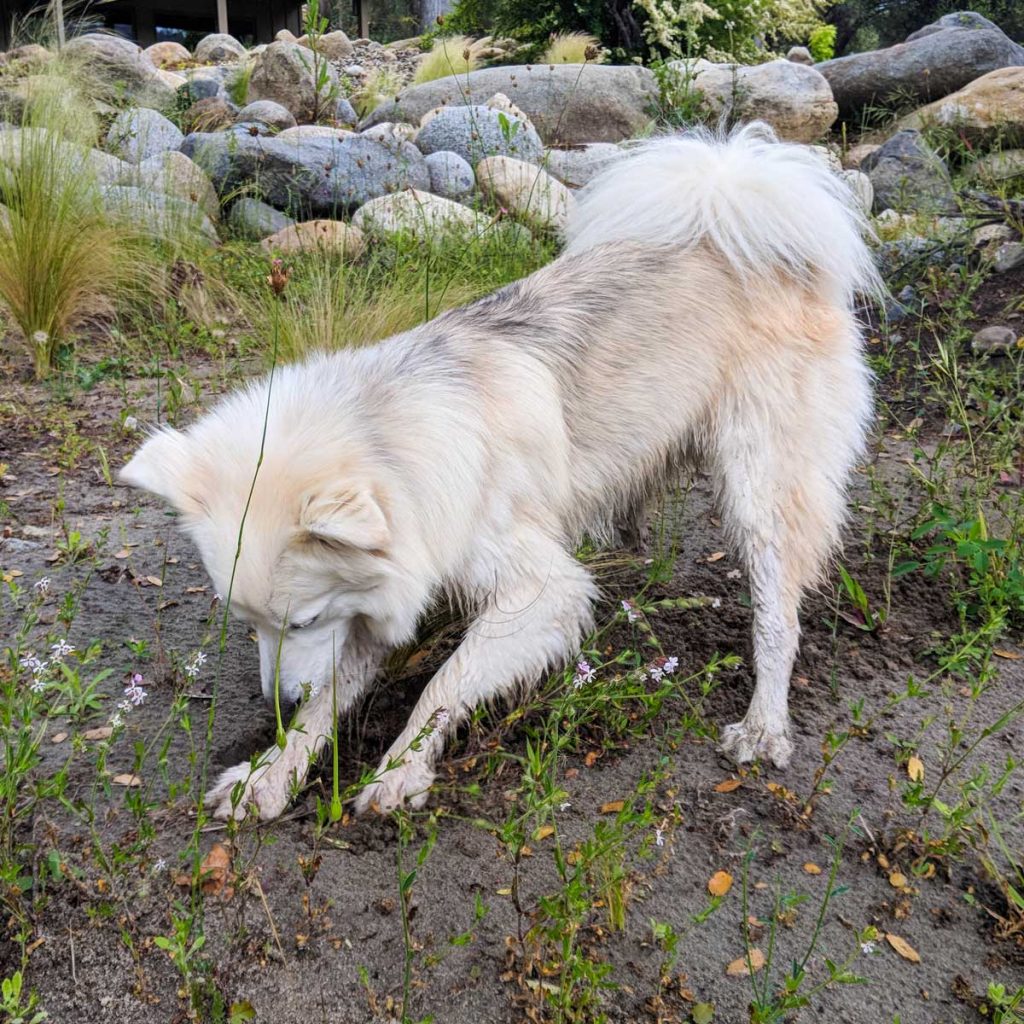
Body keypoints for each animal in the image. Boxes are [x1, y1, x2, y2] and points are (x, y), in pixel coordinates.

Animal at [119, 123, 876, 819]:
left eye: (301, 620)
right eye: (245, 621)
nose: (274, 701)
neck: (392, 436)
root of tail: (735, 195)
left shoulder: (539, 591)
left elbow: (442, 686)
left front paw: (397, 771)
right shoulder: (371, 599)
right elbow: (326, 706)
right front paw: (268, 773)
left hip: (758, 489)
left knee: (779, 615)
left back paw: (763, 727)